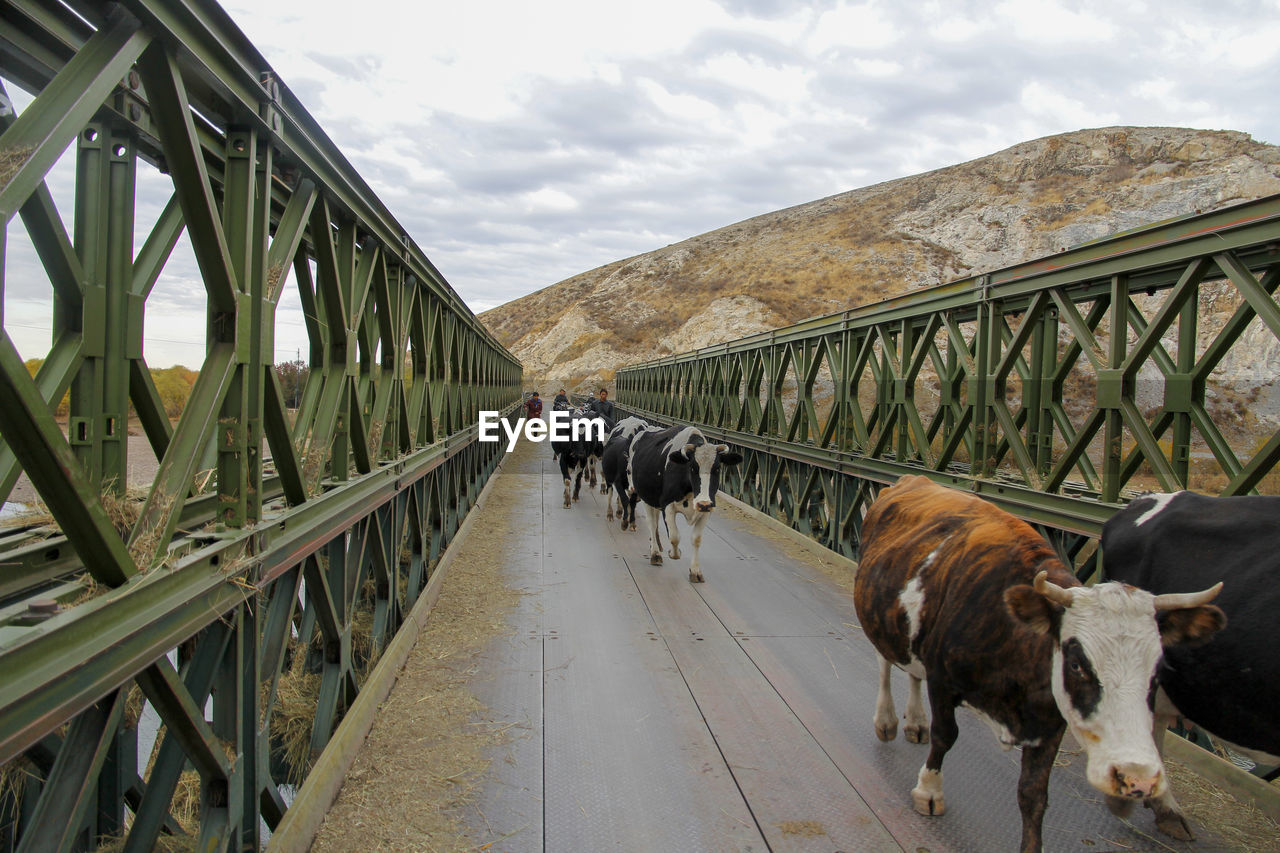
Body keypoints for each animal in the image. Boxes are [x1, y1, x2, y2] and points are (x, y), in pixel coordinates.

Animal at [627, 422, 742, 581]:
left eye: (717, 468)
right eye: (692, 468)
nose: (703, 503)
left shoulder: (707, 510)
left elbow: (696, 539)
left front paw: (695, 571)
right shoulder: (667, 505)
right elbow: (674, 537)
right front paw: (674, 553)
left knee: (655, 521)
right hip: (646, 497)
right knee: (652, 523)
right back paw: (655, 553)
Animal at [855, 473, 1223, 845]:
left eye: (1156, 672)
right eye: (1076, 664)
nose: (1137, 776)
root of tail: (913, 478)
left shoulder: (1052, 721)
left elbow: (1033, 794)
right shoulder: (943, 681)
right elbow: (946, 735)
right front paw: (929, 791)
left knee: (913, 672)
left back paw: (916, 722)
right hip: (879, 615)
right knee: (886, 664)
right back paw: (887, 721)